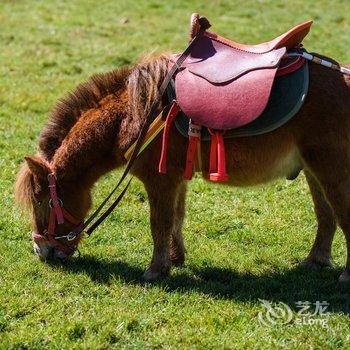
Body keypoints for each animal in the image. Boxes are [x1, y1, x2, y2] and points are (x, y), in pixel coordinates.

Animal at [15, 52, 350, 282]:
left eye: (42, 200)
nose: (41, 251)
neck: (136, 115)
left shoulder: (160, 180)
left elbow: (159, 222)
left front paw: (155, 270)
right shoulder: (177, 180)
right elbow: (176, 218)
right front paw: (175, 259)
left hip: (330, 169)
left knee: (341, 214)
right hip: (313, 170)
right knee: (326, 216)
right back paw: (315, 261)